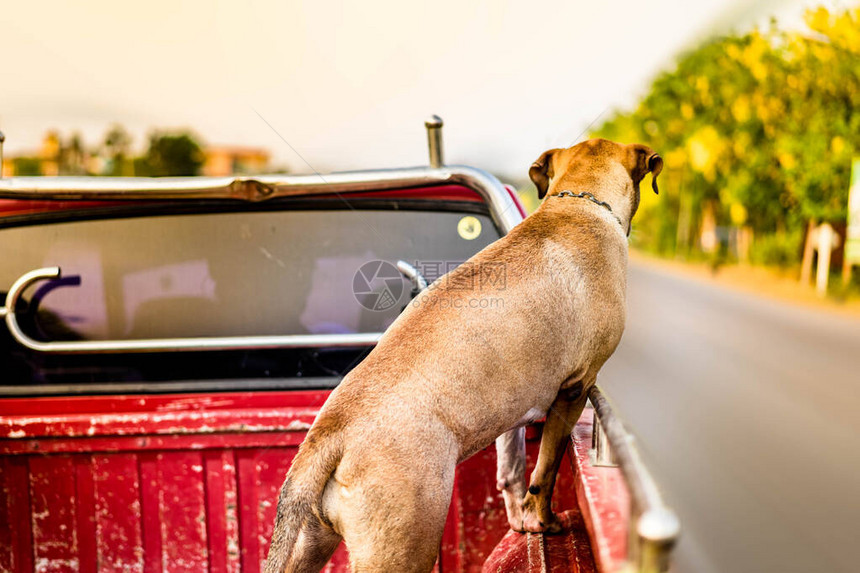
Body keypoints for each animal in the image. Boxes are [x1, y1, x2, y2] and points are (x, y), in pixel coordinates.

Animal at [266, 139, 660, 572]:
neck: (578, 203)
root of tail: (329, 435)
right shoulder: (575, 389)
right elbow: (546, 471)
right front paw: (542, 521)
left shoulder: (513, 408)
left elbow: (513, 469)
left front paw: (520, 519)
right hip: (404, 547)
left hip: (311, 543)